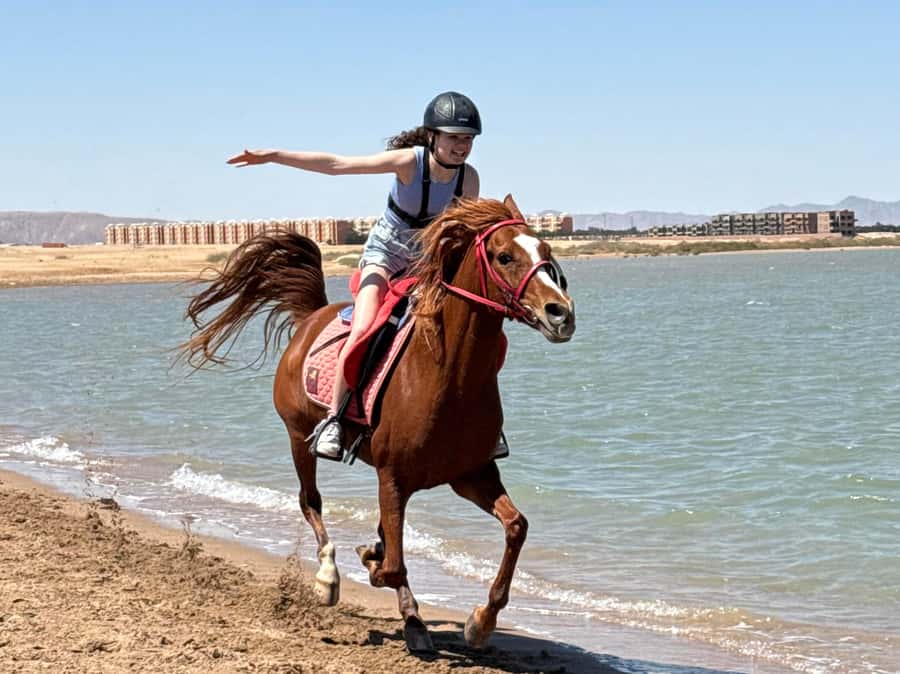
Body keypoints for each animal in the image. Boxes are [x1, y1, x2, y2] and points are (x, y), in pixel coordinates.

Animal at [180, 195, 576, 653]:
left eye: (545, 251)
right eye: (504, 256)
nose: (561, 313)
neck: (448, 375)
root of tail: (312, 317)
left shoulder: (471, 474)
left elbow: (515, 527)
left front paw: (481, 620)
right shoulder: (393, 478)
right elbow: (393, 565)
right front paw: (376, 571)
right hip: (298, 437)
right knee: (310, 502)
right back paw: (330, 579)